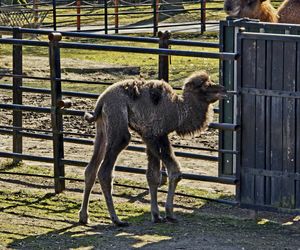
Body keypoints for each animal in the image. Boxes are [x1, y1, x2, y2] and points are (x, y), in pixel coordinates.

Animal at [78, 71, 226, 226]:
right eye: (205, 85)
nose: (224, 90)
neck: (177, 110)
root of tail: (101, 101)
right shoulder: (155, 135)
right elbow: (175, 172)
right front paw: (169, 214)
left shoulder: (151, 137)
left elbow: (153, 176)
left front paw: (156, 215)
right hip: (118, 122)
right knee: (105, 171)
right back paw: (117, 220)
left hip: (102, 128)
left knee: (91, 169)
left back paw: (84, 216)